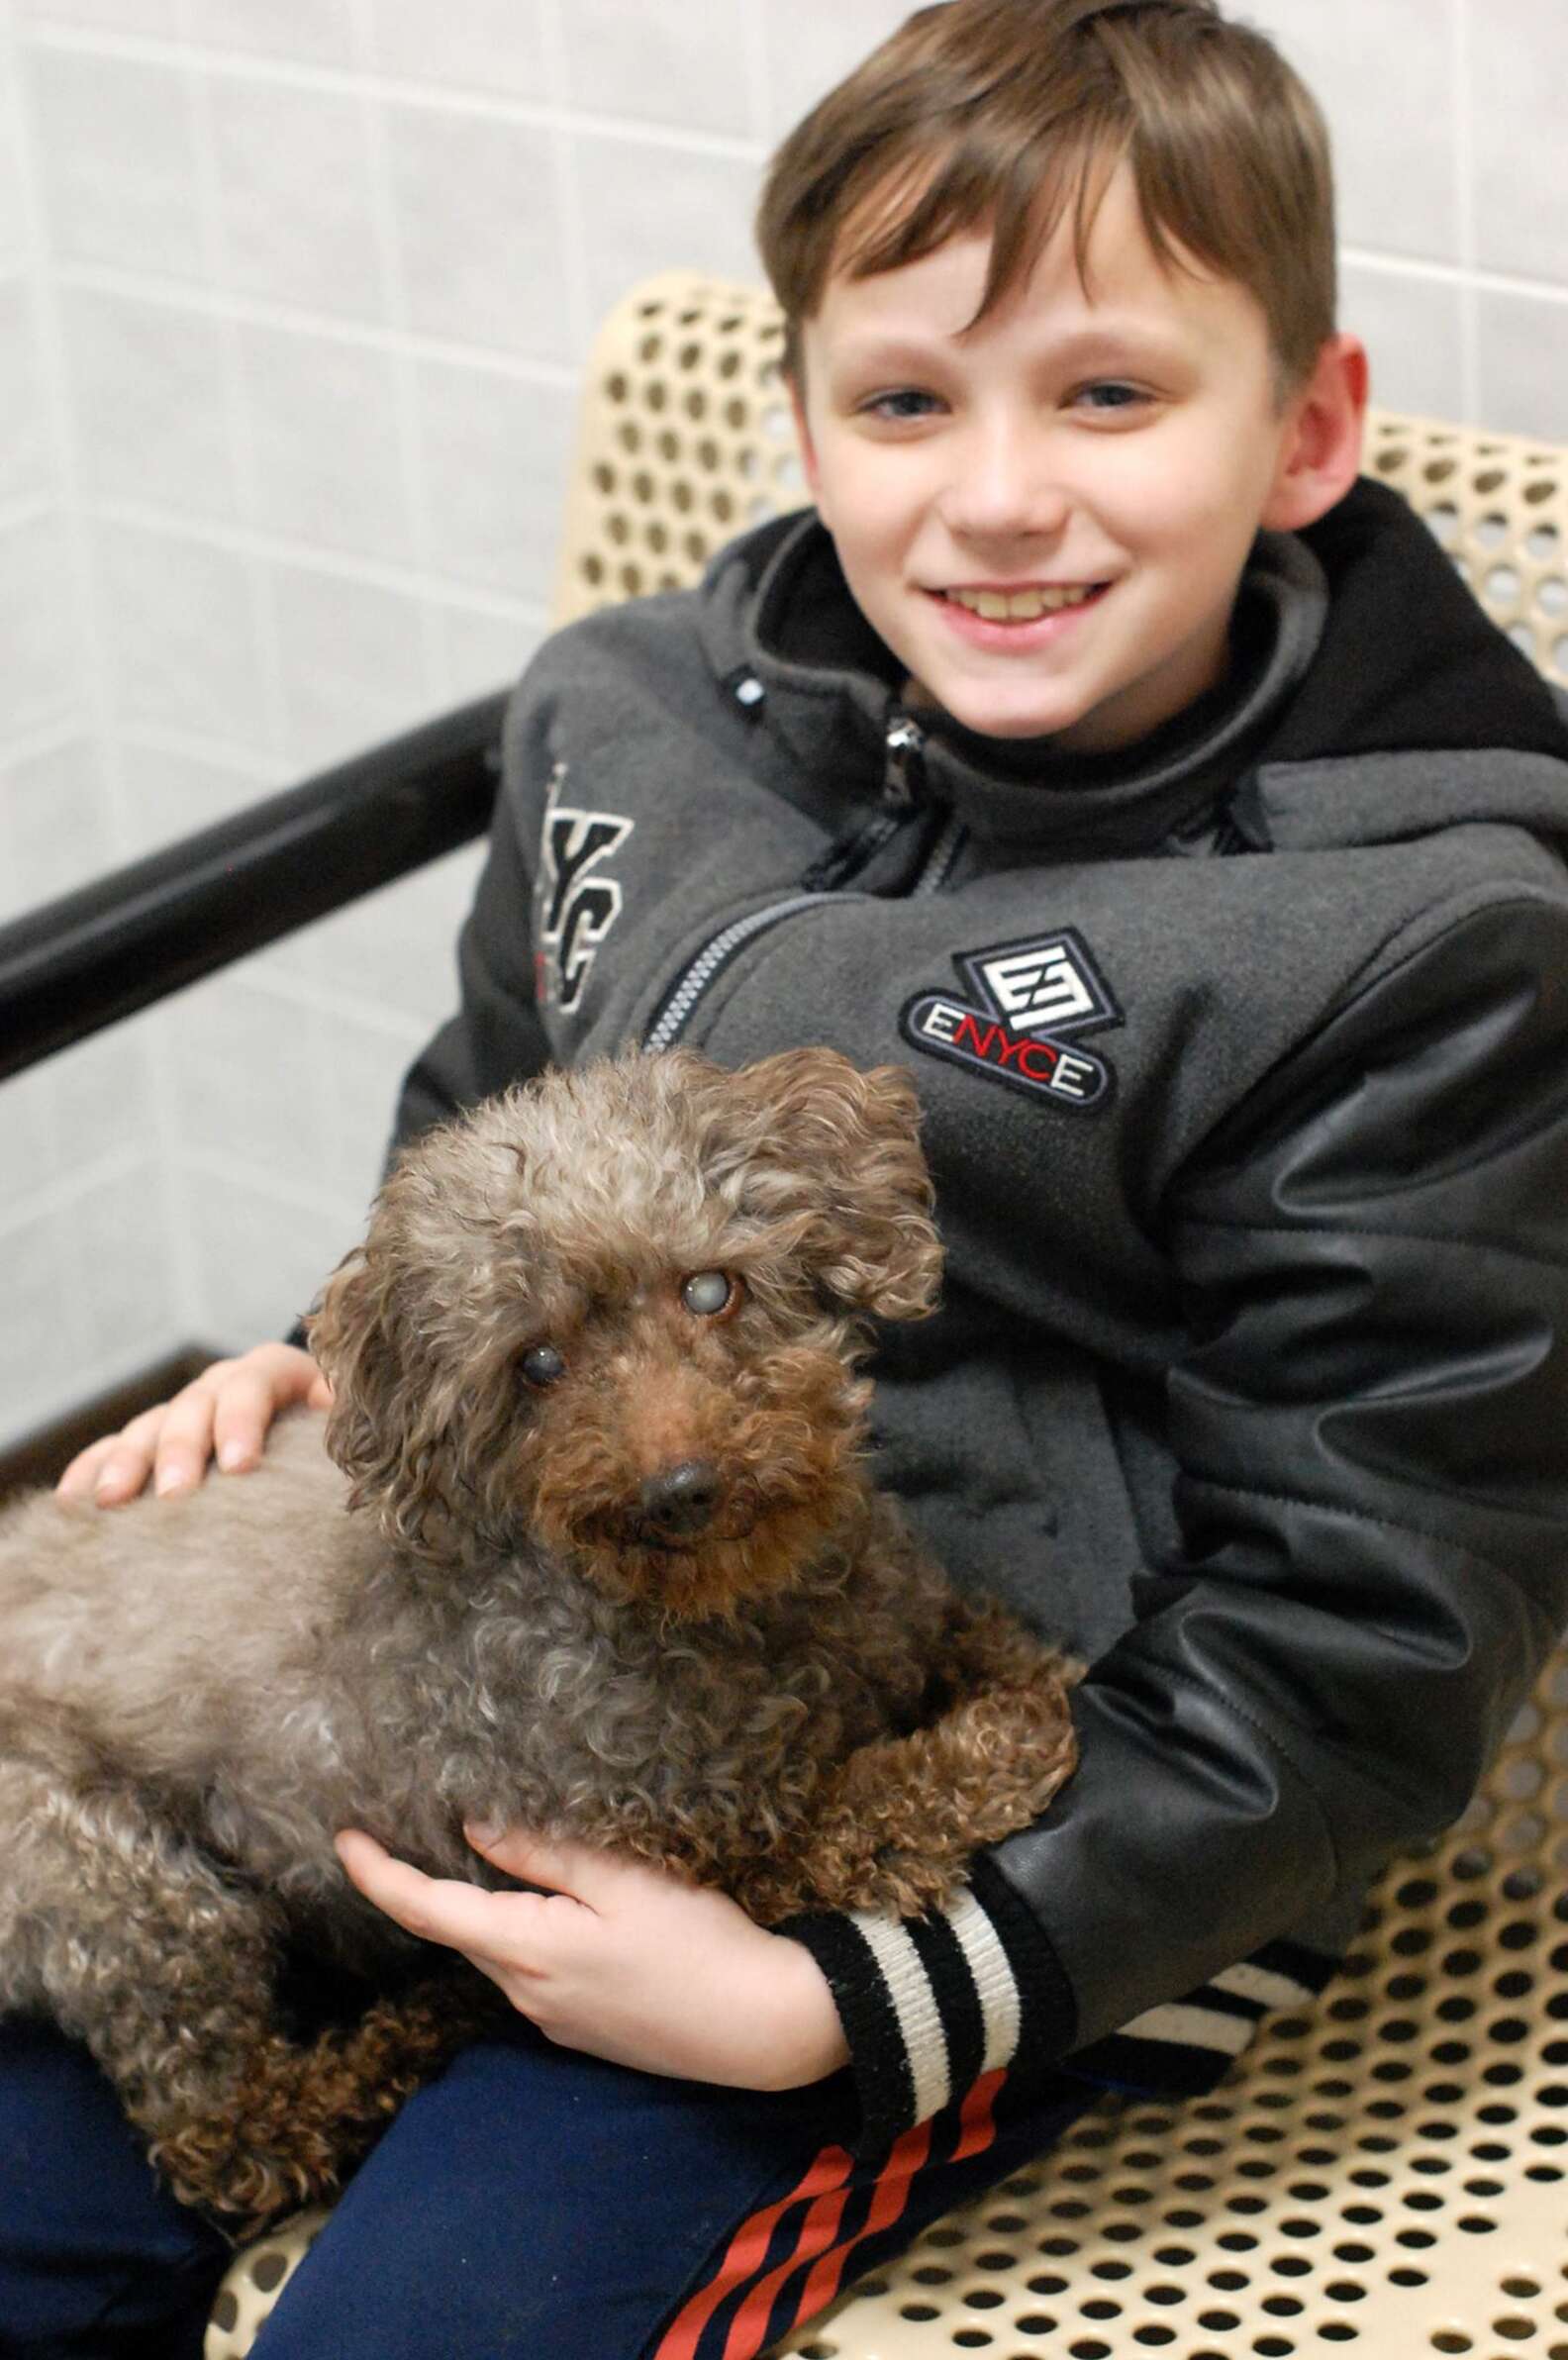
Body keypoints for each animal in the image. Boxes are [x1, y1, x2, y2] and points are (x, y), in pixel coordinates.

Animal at [0, 1052, 1076, 2227]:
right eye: (539, 1362)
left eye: (710, 1289)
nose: (681, 1488)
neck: (744, 1612)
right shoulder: (711, 1836)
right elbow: (876, 1804)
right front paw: (1001, 1744)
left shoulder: (902, 1622)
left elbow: (980, 1638)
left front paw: (1025, 1681)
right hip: (123, 1889)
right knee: (234, 2136)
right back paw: (425, 2020)